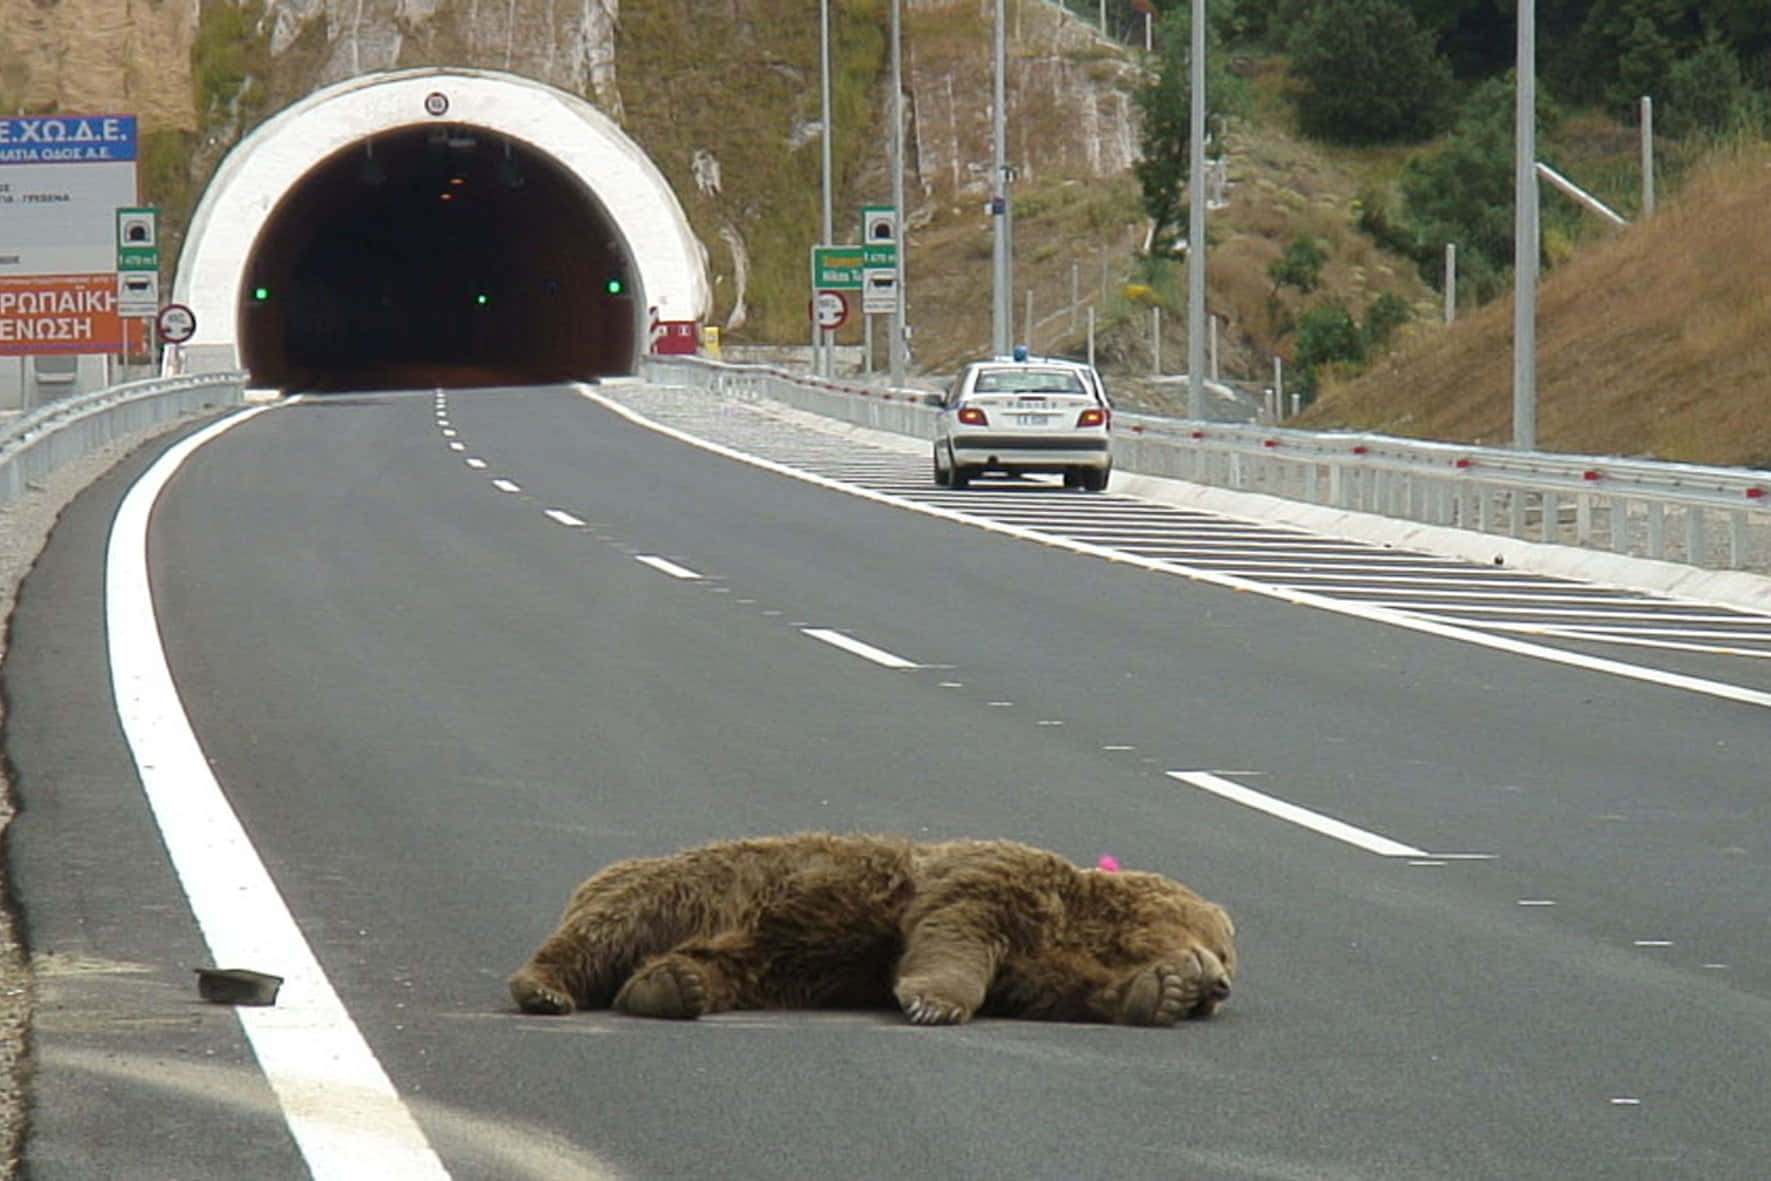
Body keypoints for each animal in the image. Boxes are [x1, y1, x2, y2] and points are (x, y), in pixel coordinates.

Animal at [508, 832, 1235, 1027]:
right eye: (1227, 949)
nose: (1220, 984)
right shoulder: (990, 880)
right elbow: (955, 931)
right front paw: (934, 1002)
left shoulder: (1043, 959)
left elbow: (1056, 989)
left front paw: (1162, 991)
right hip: (684, 887)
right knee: (605, 927)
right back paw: (542, 987)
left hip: (743, 956)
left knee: (700, 970)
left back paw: (669, 989)